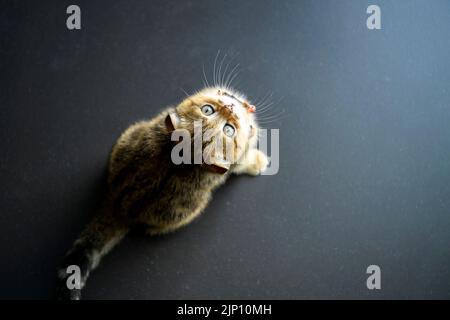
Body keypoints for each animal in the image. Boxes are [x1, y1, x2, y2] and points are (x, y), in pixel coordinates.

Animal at [55, 86, 268, 298]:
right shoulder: (236, 163)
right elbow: (245, 161)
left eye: (228, 129)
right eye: (208, 110)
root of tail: (119, 207)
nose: (229, 106)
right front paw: (260, 162)